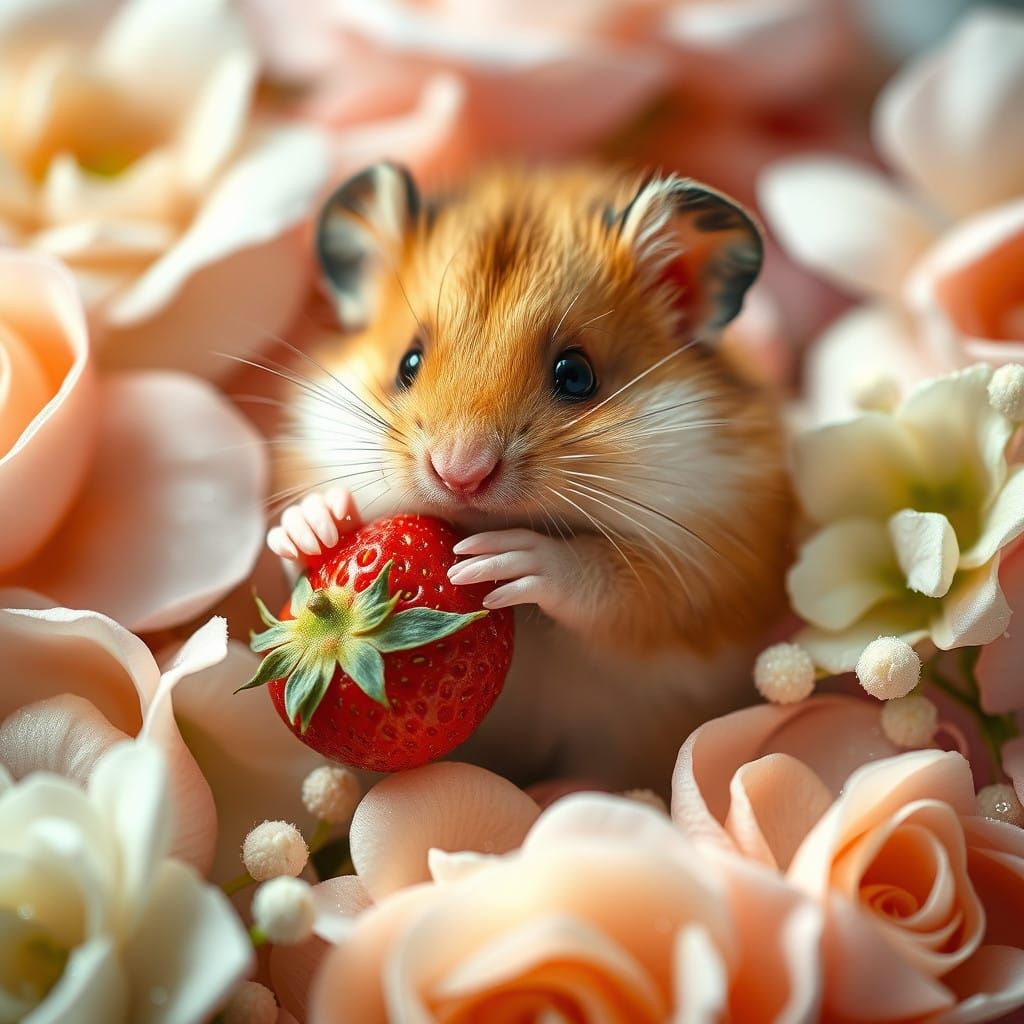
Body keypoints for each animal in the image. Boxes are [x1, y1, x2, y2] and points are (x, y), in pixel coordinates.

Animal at [268, 163, 792, 791]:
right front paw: (317, 525)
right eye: (407, 364)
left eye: (577, 374)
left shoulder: (706, 577)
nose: (460, 473)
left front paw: (505, 560)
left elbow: (615, 580)